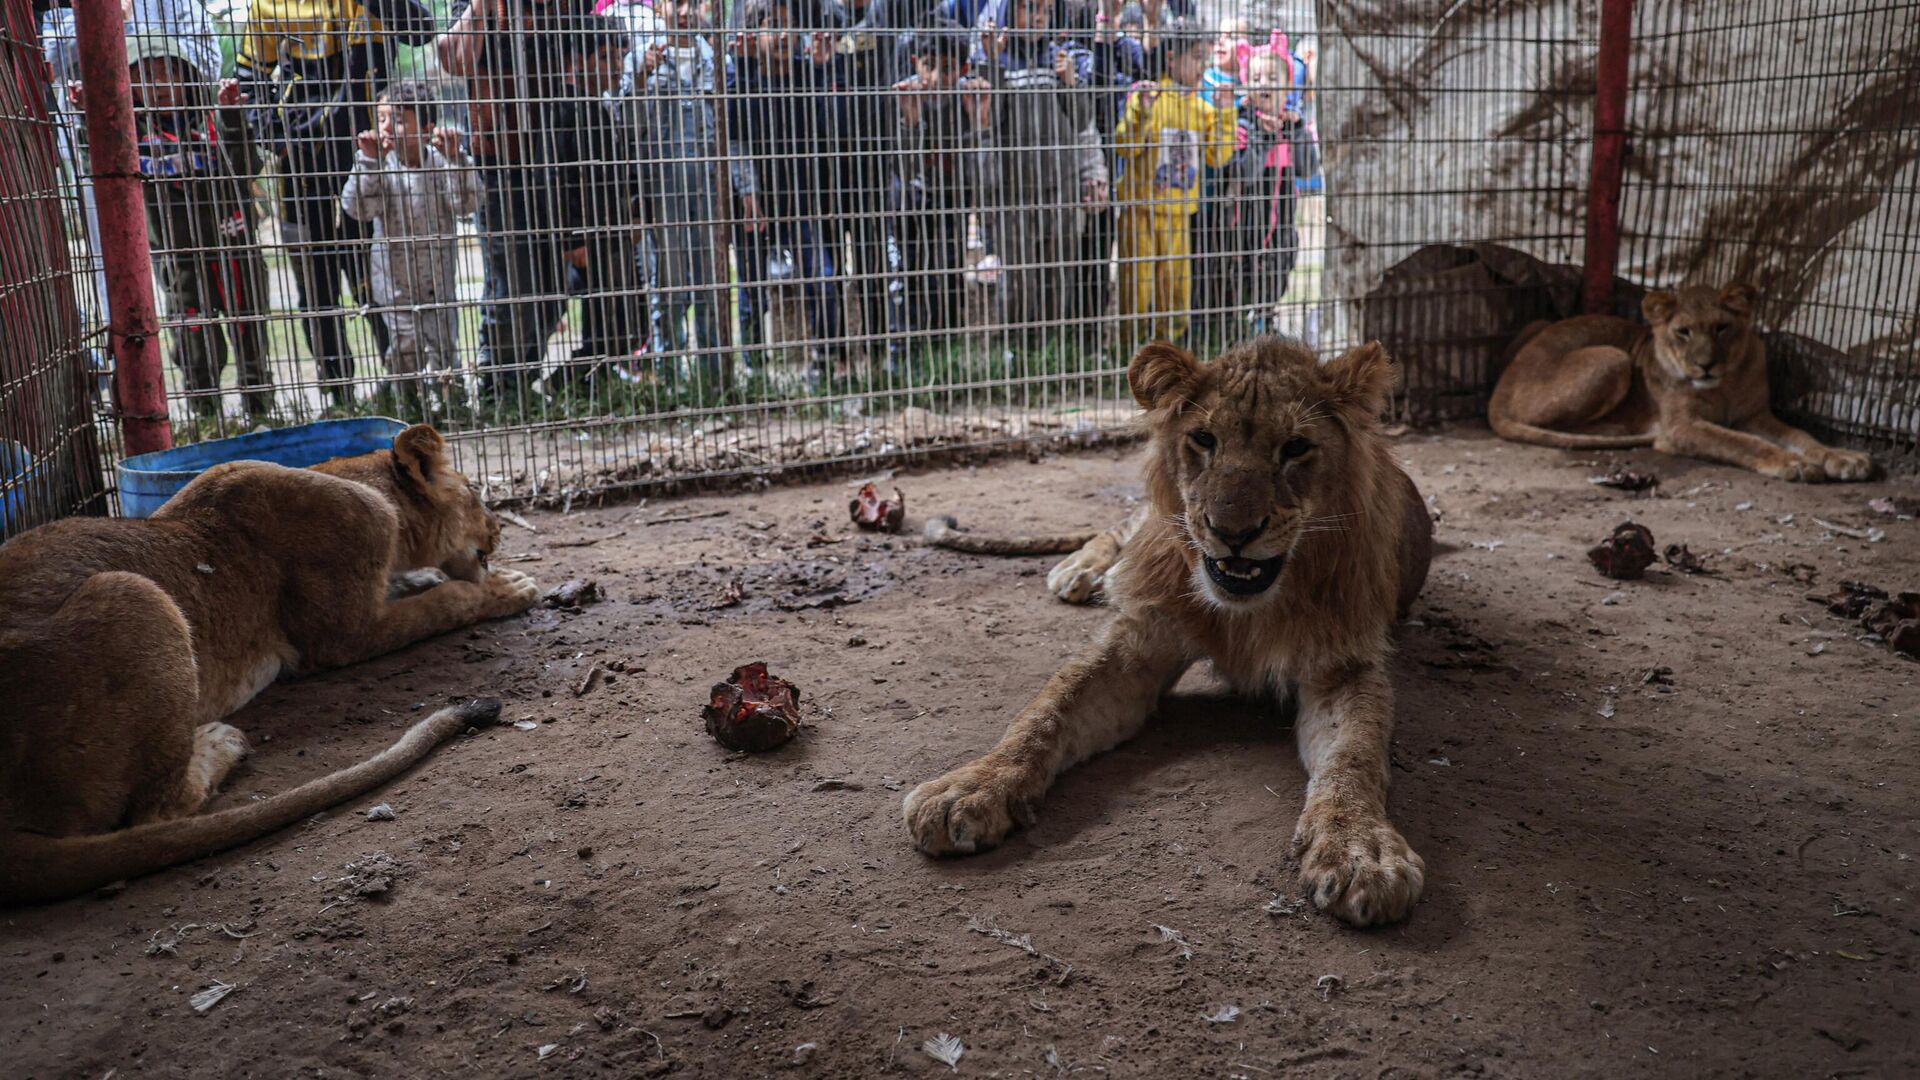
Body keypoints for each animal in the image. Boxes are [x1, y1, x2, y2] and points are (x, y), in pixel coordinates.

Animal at [1, 420, 541, 899]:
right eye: (475, 492)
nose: (498, 529)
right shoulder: (343, 637)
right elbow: (445, 602)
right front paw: (504, 589)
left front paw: (428, 579)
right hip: (134, 593)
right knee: (156, 811)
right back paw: (221, 742)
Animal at [906, 338, 1436, 926]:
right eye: (1204, 439)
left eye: (1296, 447)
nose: (1232, 533)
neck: (1248, 608)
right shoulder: (1140, 640)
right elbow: (1046, 711)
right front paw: (972, 786)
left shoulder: (1342, 665)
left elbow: (1354, 756)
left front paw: (1362, 851)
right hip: (1152, 522)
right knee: (1116, 527)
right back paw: (1083, 571)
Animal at [1482, 282, 1873, 478]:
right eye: (1683, 332)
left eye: (1722, 328)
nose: (1705, 366)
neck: (1725, 385)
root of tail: (1500, 386)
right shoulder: (1681, 427)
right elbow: (1740, 442)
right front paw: (1791, 464)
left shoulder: (1755, 416)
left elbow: (1802, 436)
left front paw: (1844, 458)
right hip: (1613, 357)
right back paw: (1613, 430)